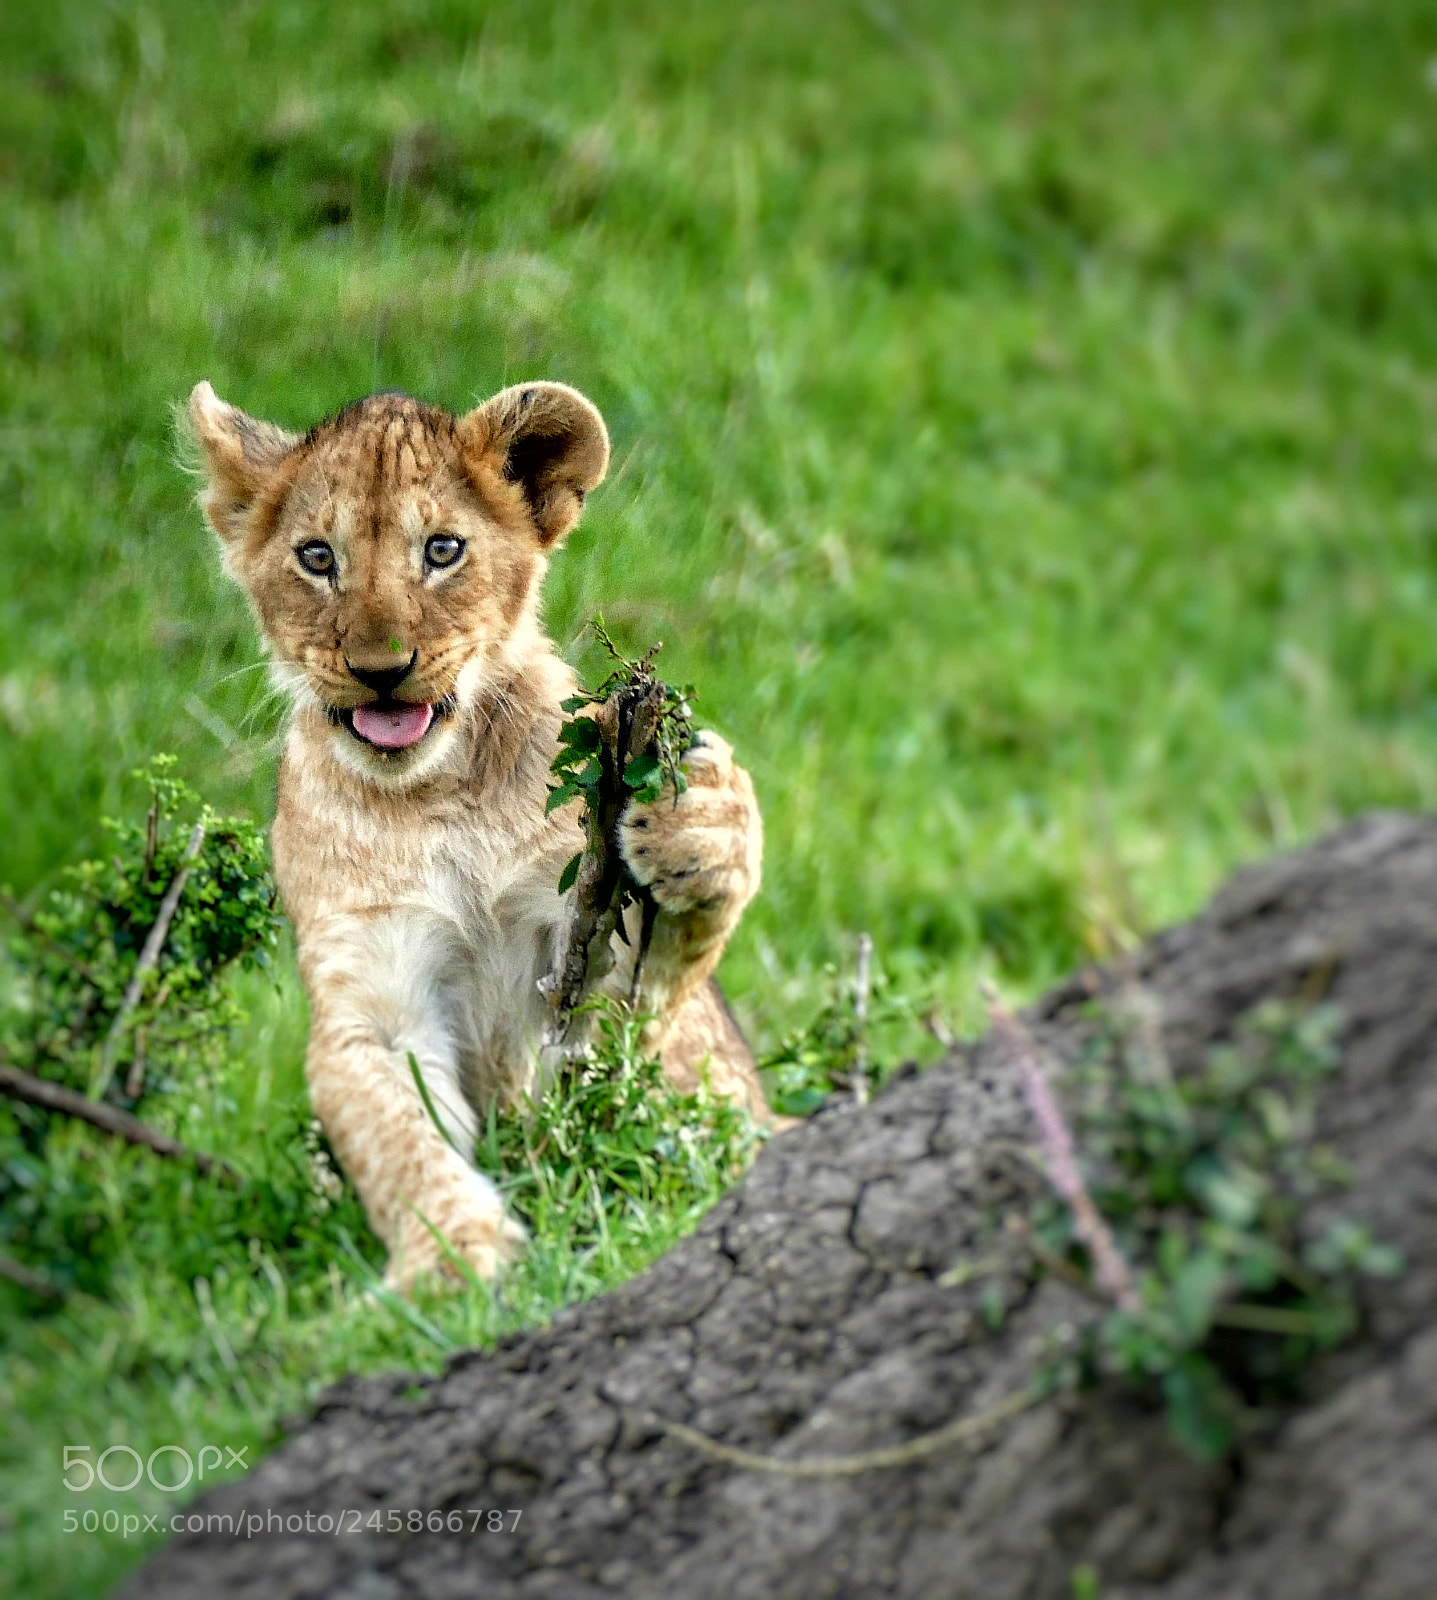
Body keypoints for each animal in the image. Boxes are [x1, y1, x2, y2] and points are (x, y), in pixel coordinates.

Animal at [187, 379, 770, 1289]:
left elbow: (656, 997)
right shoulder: (369, 989)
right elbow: (396, 1134)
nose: (381, 670)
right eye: (317, 558)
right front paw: (453, 1261)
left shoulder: (589, 959)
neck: (441, 796)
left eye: (442, 550)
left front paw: (695, 818)